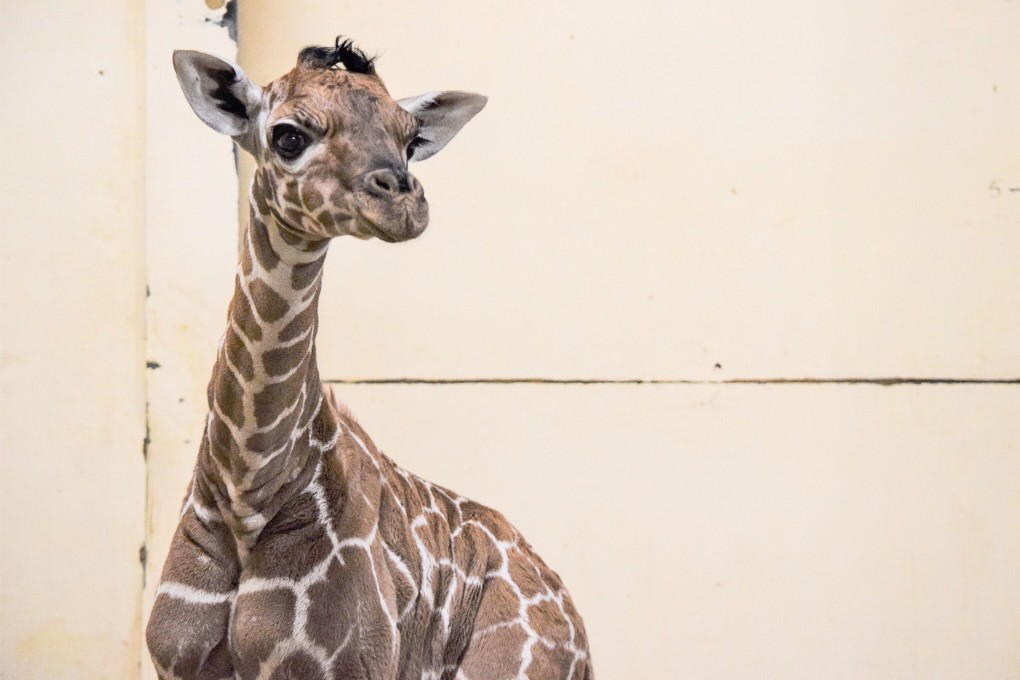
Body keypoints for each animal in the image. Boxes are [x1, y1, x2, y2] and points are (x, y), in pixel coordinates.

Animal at [146, 38, 593, 680]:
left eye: (410, 140)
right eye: (287, 135)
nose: (404, 201)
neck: (244, 489)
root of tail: (576, 626)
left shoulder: (350, 664)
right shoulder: (178, 661)